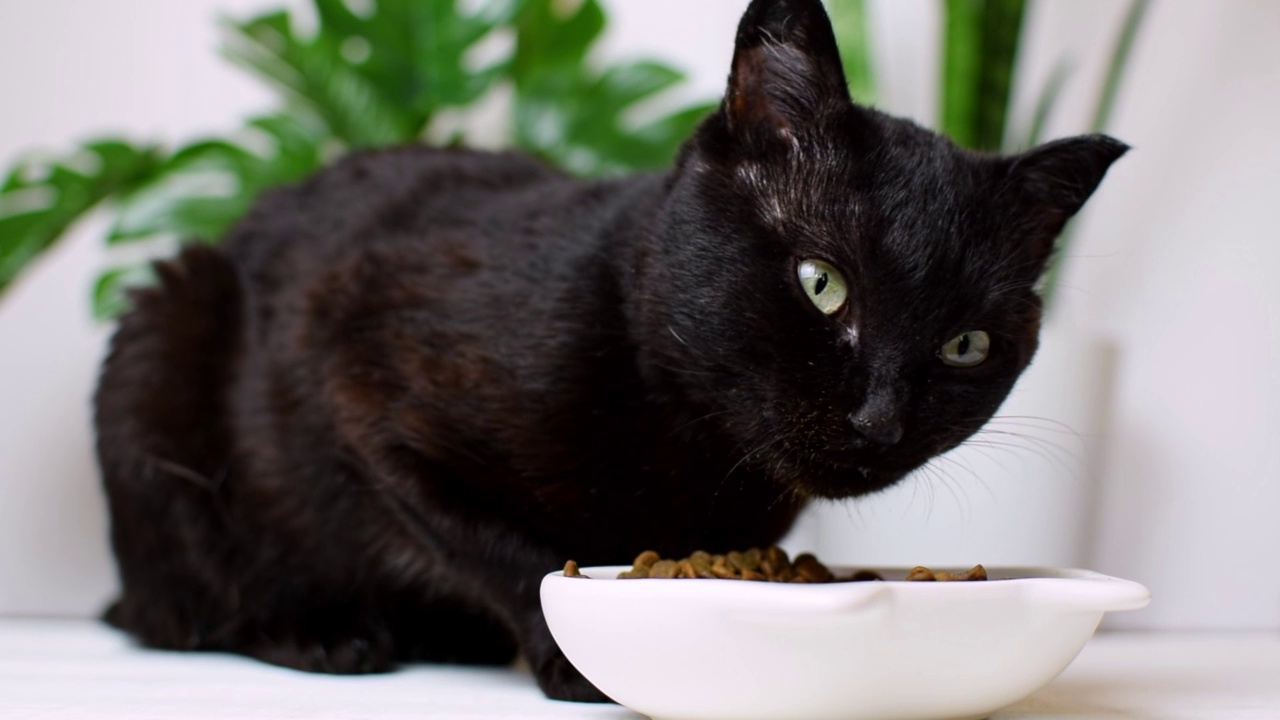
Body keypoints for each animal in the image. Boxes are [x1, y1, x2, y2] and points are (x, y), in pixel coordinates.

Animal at [94, 0, 1126, 696]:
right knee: (184, 608)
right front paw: (573, 655)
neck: (694, 449)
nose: (881, 420)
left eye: (965, 344)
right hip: (161, 330)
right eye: (821, 283)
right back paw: (322, 633)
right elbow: (510, 550)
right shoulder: (360, 387)